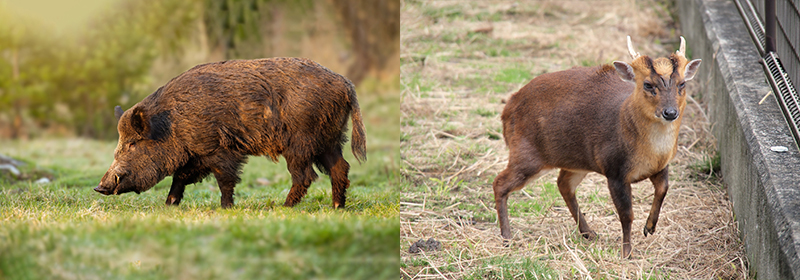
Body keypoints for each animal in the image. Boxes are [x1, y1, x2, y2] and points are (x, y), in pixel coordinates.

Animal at [490, 36, 704, 258]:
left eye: (682, 83)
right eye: (647, 84)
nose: (670, 112)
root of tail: (507, 108)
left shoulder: (661, 166)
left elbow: (663, 189)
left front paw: (649, 227)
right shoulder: (614, 169)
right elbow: (626, 215)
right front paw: (626, 252)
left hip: (576, 161)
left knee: (563, 184)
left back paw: (589, 233)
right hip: (526, 153)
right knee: (500, 183)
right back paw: (507, 237)